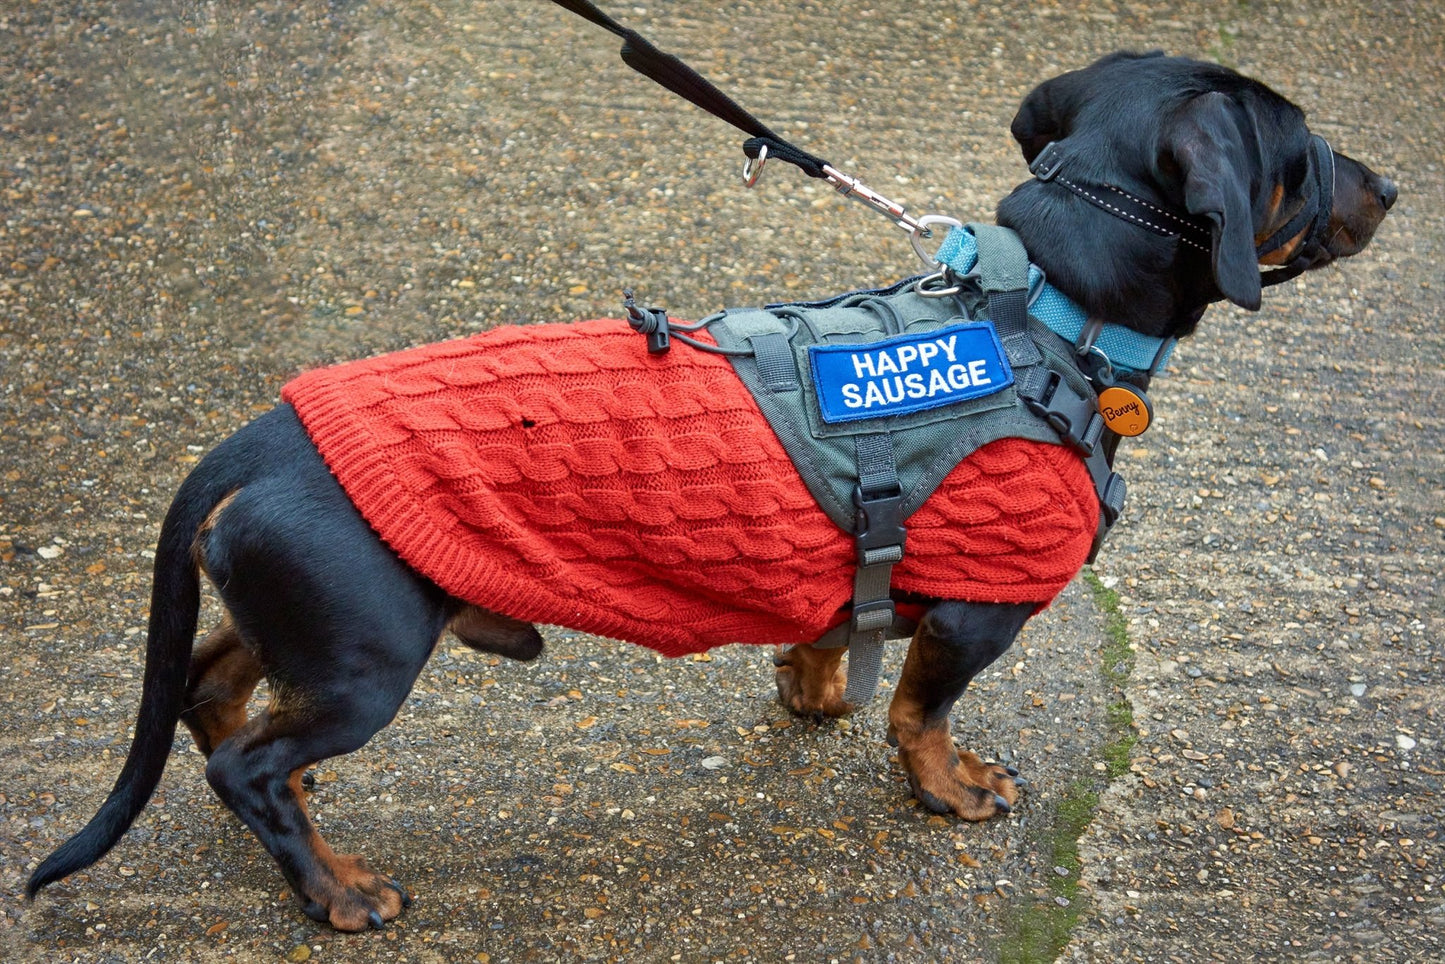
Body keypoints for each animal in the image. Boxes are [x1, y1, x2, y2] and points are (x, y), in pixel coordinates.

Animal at [25, 50, 1398, 924]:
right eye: (1301, 148)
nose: (1391, 184)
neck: (1043, 311)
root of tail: (253, 440)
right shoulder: (976, 612)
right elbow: (923, 711)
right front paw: (948, 787)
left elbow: (828, 637)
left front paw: (812, 691)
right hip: (367, 654)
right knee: (242, 765)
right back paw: (337, 889)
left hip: (306, 625)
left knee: (216, 694)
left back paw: (305, 823)